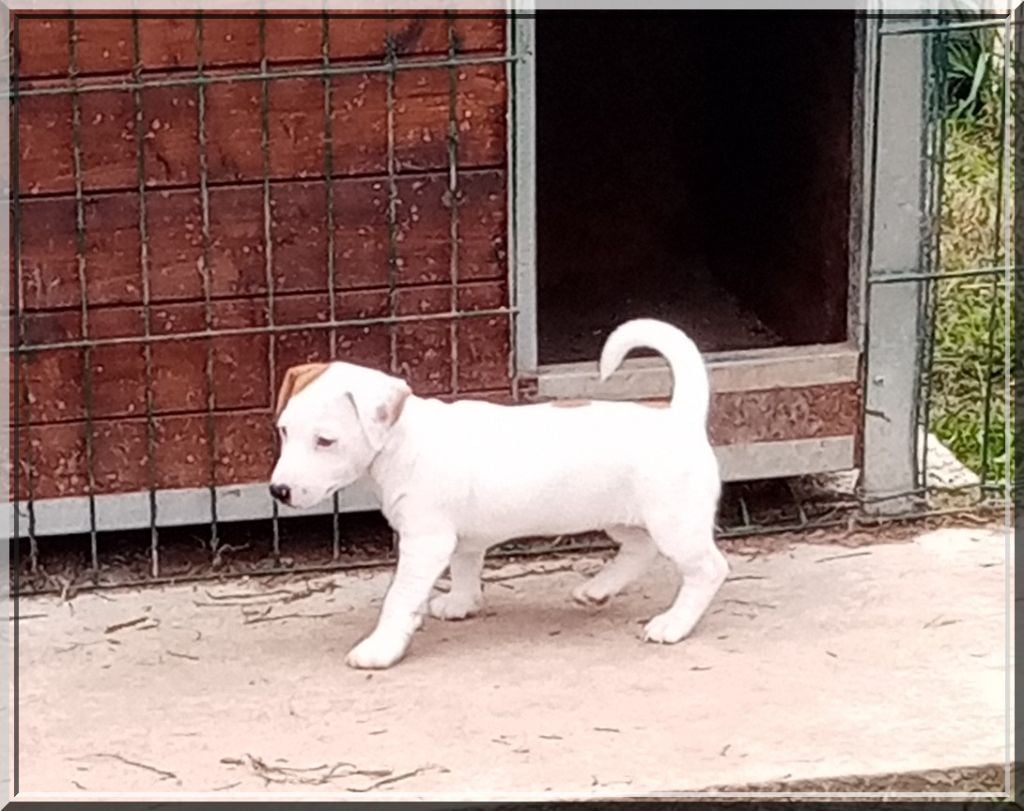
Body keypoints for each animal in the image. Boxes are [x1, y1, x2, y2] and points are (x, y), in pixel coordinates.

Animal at [270, 318, 726, 669]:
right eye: (284, 430)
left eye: (325, 441)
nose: (278, 490)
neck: (403, 440)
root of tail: (679, 417)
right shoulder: (459, 540)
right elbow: (463, 567)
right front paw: (461, 603)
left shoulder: (425, 543)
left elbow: (399, 596)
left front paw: (381, 647)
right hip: (623, 518)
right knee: (640, 549)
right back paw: (598, 589)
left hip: (675, 523)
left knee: (708, 569)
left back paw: (674, 623)